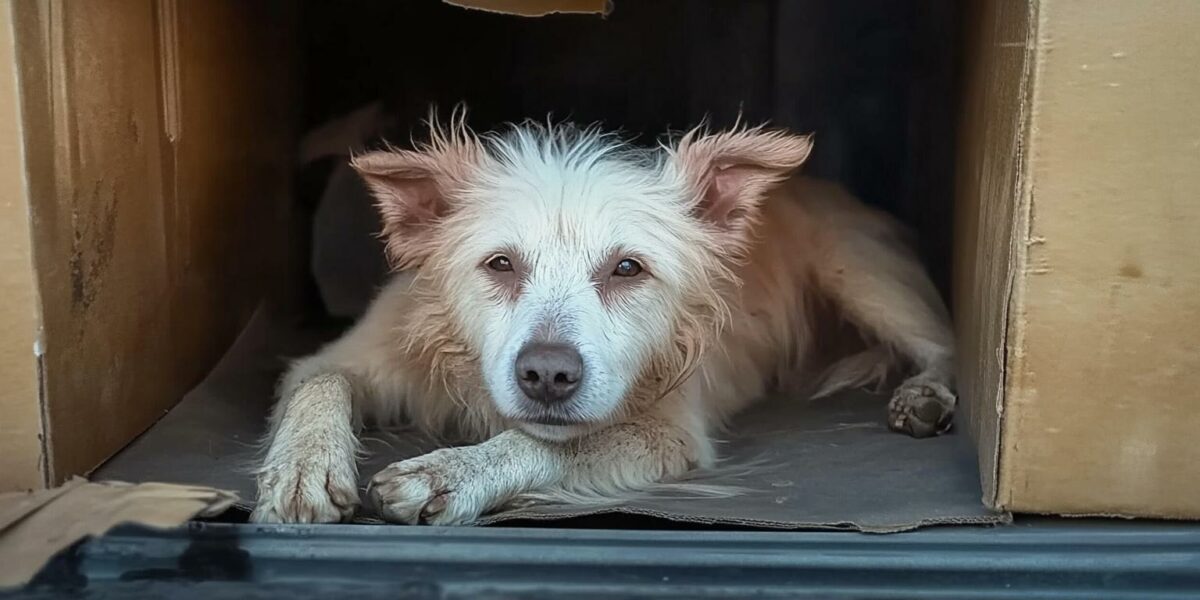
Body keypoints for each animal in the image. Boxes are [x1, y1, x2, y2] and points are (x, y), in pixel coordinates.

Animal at [250, 113, 955, 525]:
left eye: (627, 269)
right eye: (500, 264)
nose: (547, 375)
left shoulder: (669, 433)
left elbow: (547, 443)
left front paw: (449, 474)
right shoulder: (346, 356)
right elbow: (320, 384)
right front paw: (304, 471)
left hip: (858, 271)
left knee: (944, 346)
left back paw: (924, 396)